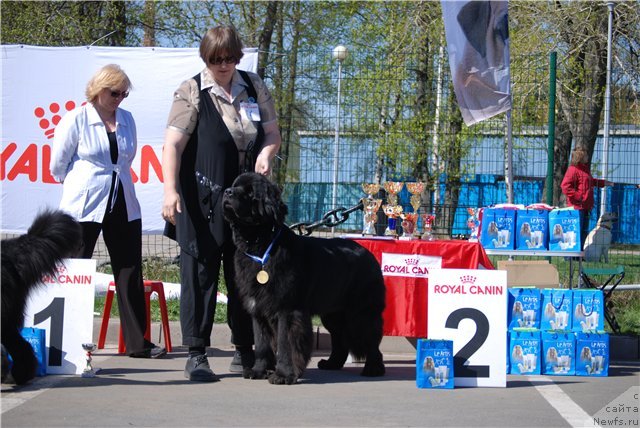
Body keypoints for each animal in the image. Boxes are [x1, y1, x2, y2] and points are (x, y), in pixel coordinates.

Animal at [224, 172, 384, 386]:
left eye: (250, 192)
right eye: (234, 185)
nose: (227, 192)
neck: (261, 245)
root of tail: (369, 255)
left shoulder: (287, 309)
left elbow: (285, 343)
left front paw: (283, 375)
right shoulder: (258, 309)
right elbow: (261, 343)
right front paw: (258, 370)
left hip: (360, 313)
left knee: (371, 339)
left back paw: (373, 368)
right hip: (333, 314)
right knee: (339, 338)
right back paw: (332, 363)